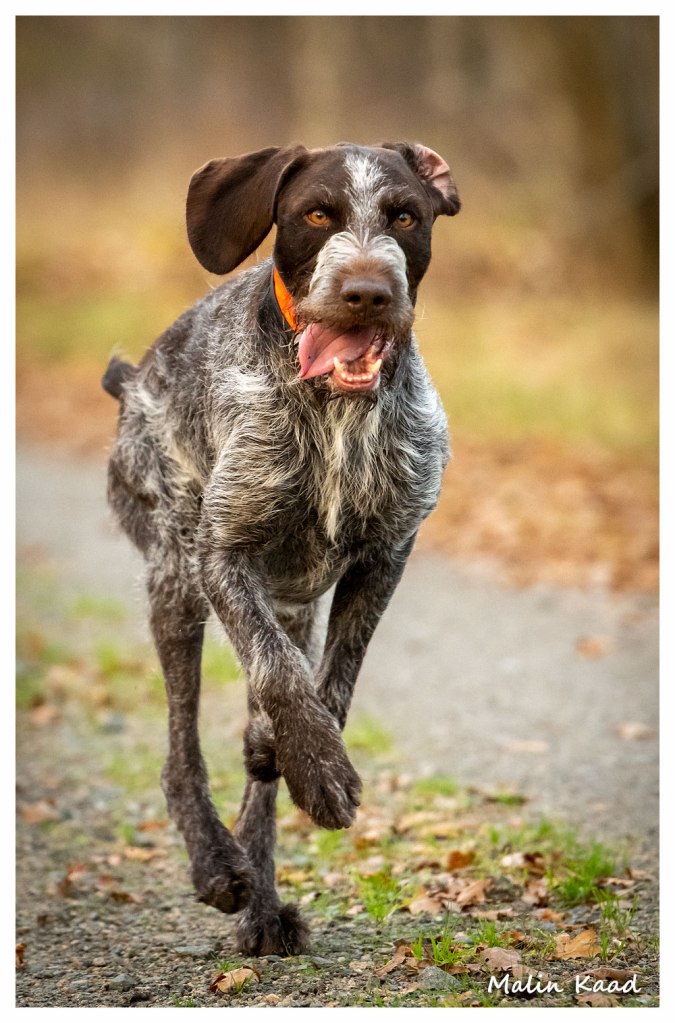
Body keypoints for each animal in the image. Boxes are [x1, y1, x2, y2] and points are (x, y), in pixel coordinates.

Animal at [103, 141, 460, 956]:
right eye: (316, 215)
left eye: (406, 216)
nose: (366, 292)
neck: (336, 410)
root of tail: (131, 379)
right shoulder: (222, 557)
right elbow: (280, 676)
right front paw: (320, 768)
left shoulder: (384, 556)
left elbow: (330, 682)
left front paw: (296, 754)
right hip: (175, 577)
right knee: (181, 750)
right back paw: (217, 863)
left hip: (287, 600)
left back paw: (263, 904)